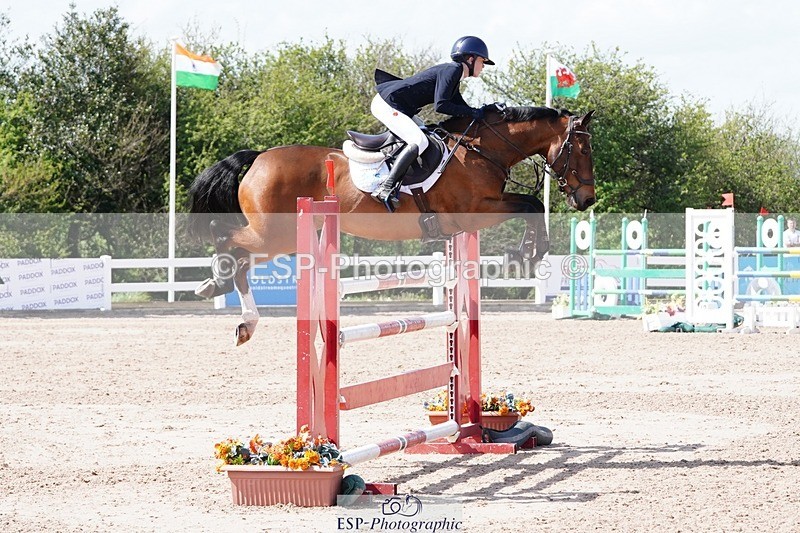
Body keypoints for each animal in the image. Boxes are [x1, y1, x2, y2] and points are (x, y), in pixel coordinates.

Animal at [188, 106, 596, 345]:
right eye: (582, 149)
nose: (586, 200)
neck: (481, 150)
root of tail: (258, 159)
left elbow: (531, 204)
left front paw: (525, 252)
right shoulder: (472, 211)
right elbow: (531, 204)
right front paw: (525, 253)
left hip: (281, 239)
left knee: (241, 258)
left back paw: (235, 310)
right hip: (276, 233)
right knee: (225, 237)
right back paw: (220, 285)